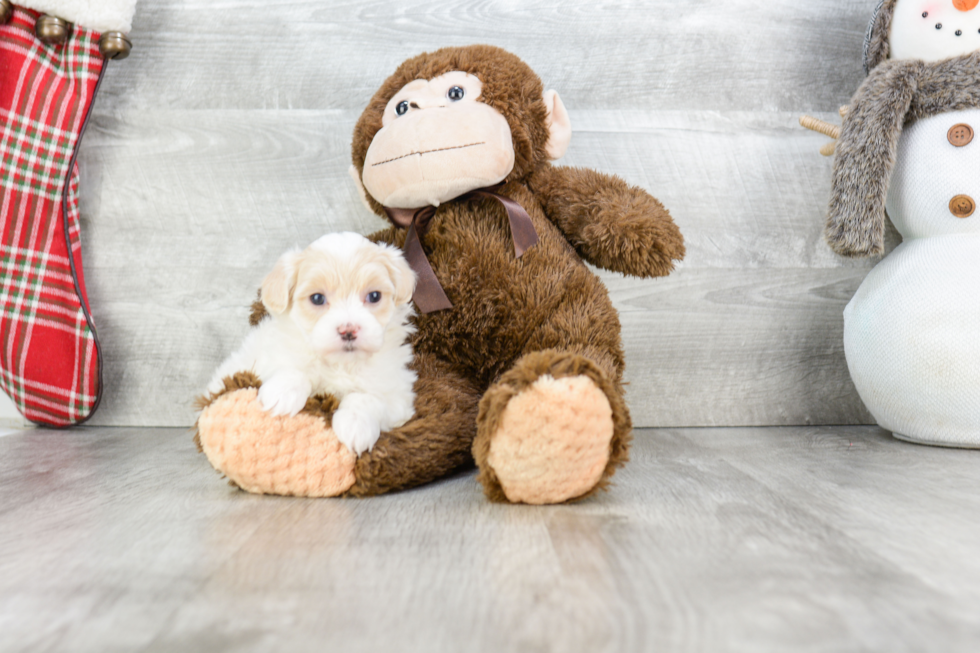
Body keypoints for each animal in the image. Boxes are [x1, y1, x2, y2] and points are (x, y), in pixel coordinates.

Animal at [209, 233, 416, 454]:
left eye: (374, 296)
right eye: (317, 298)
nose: (348, 330)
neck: (340, 364)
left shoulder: (398, 395)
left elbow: (366, 397)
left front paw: (355, 424)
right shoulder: (268, 358)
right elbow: (293, 369)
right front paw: (282, 393)